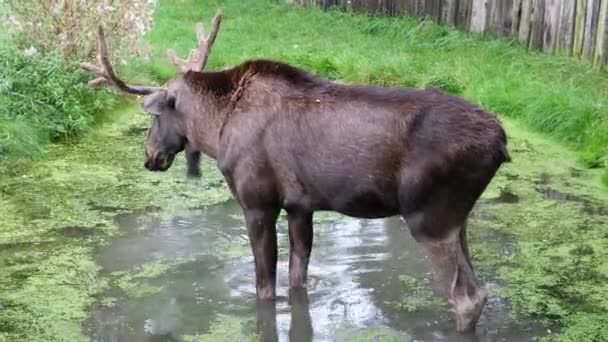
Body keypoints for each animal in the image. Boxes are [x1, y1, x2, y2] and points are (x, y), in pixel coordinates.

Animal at [79, 9, 508, 332]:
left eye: (153, 118)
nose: (149, 156)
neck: (216, 129)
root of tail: (501, 143)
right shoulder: (301, 205)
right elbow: (298, 275)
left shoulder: (257, 202)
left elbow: (265, 286)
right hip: (457, 220)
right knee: (481, 290)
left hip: (428, 217)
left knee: (465, 298)